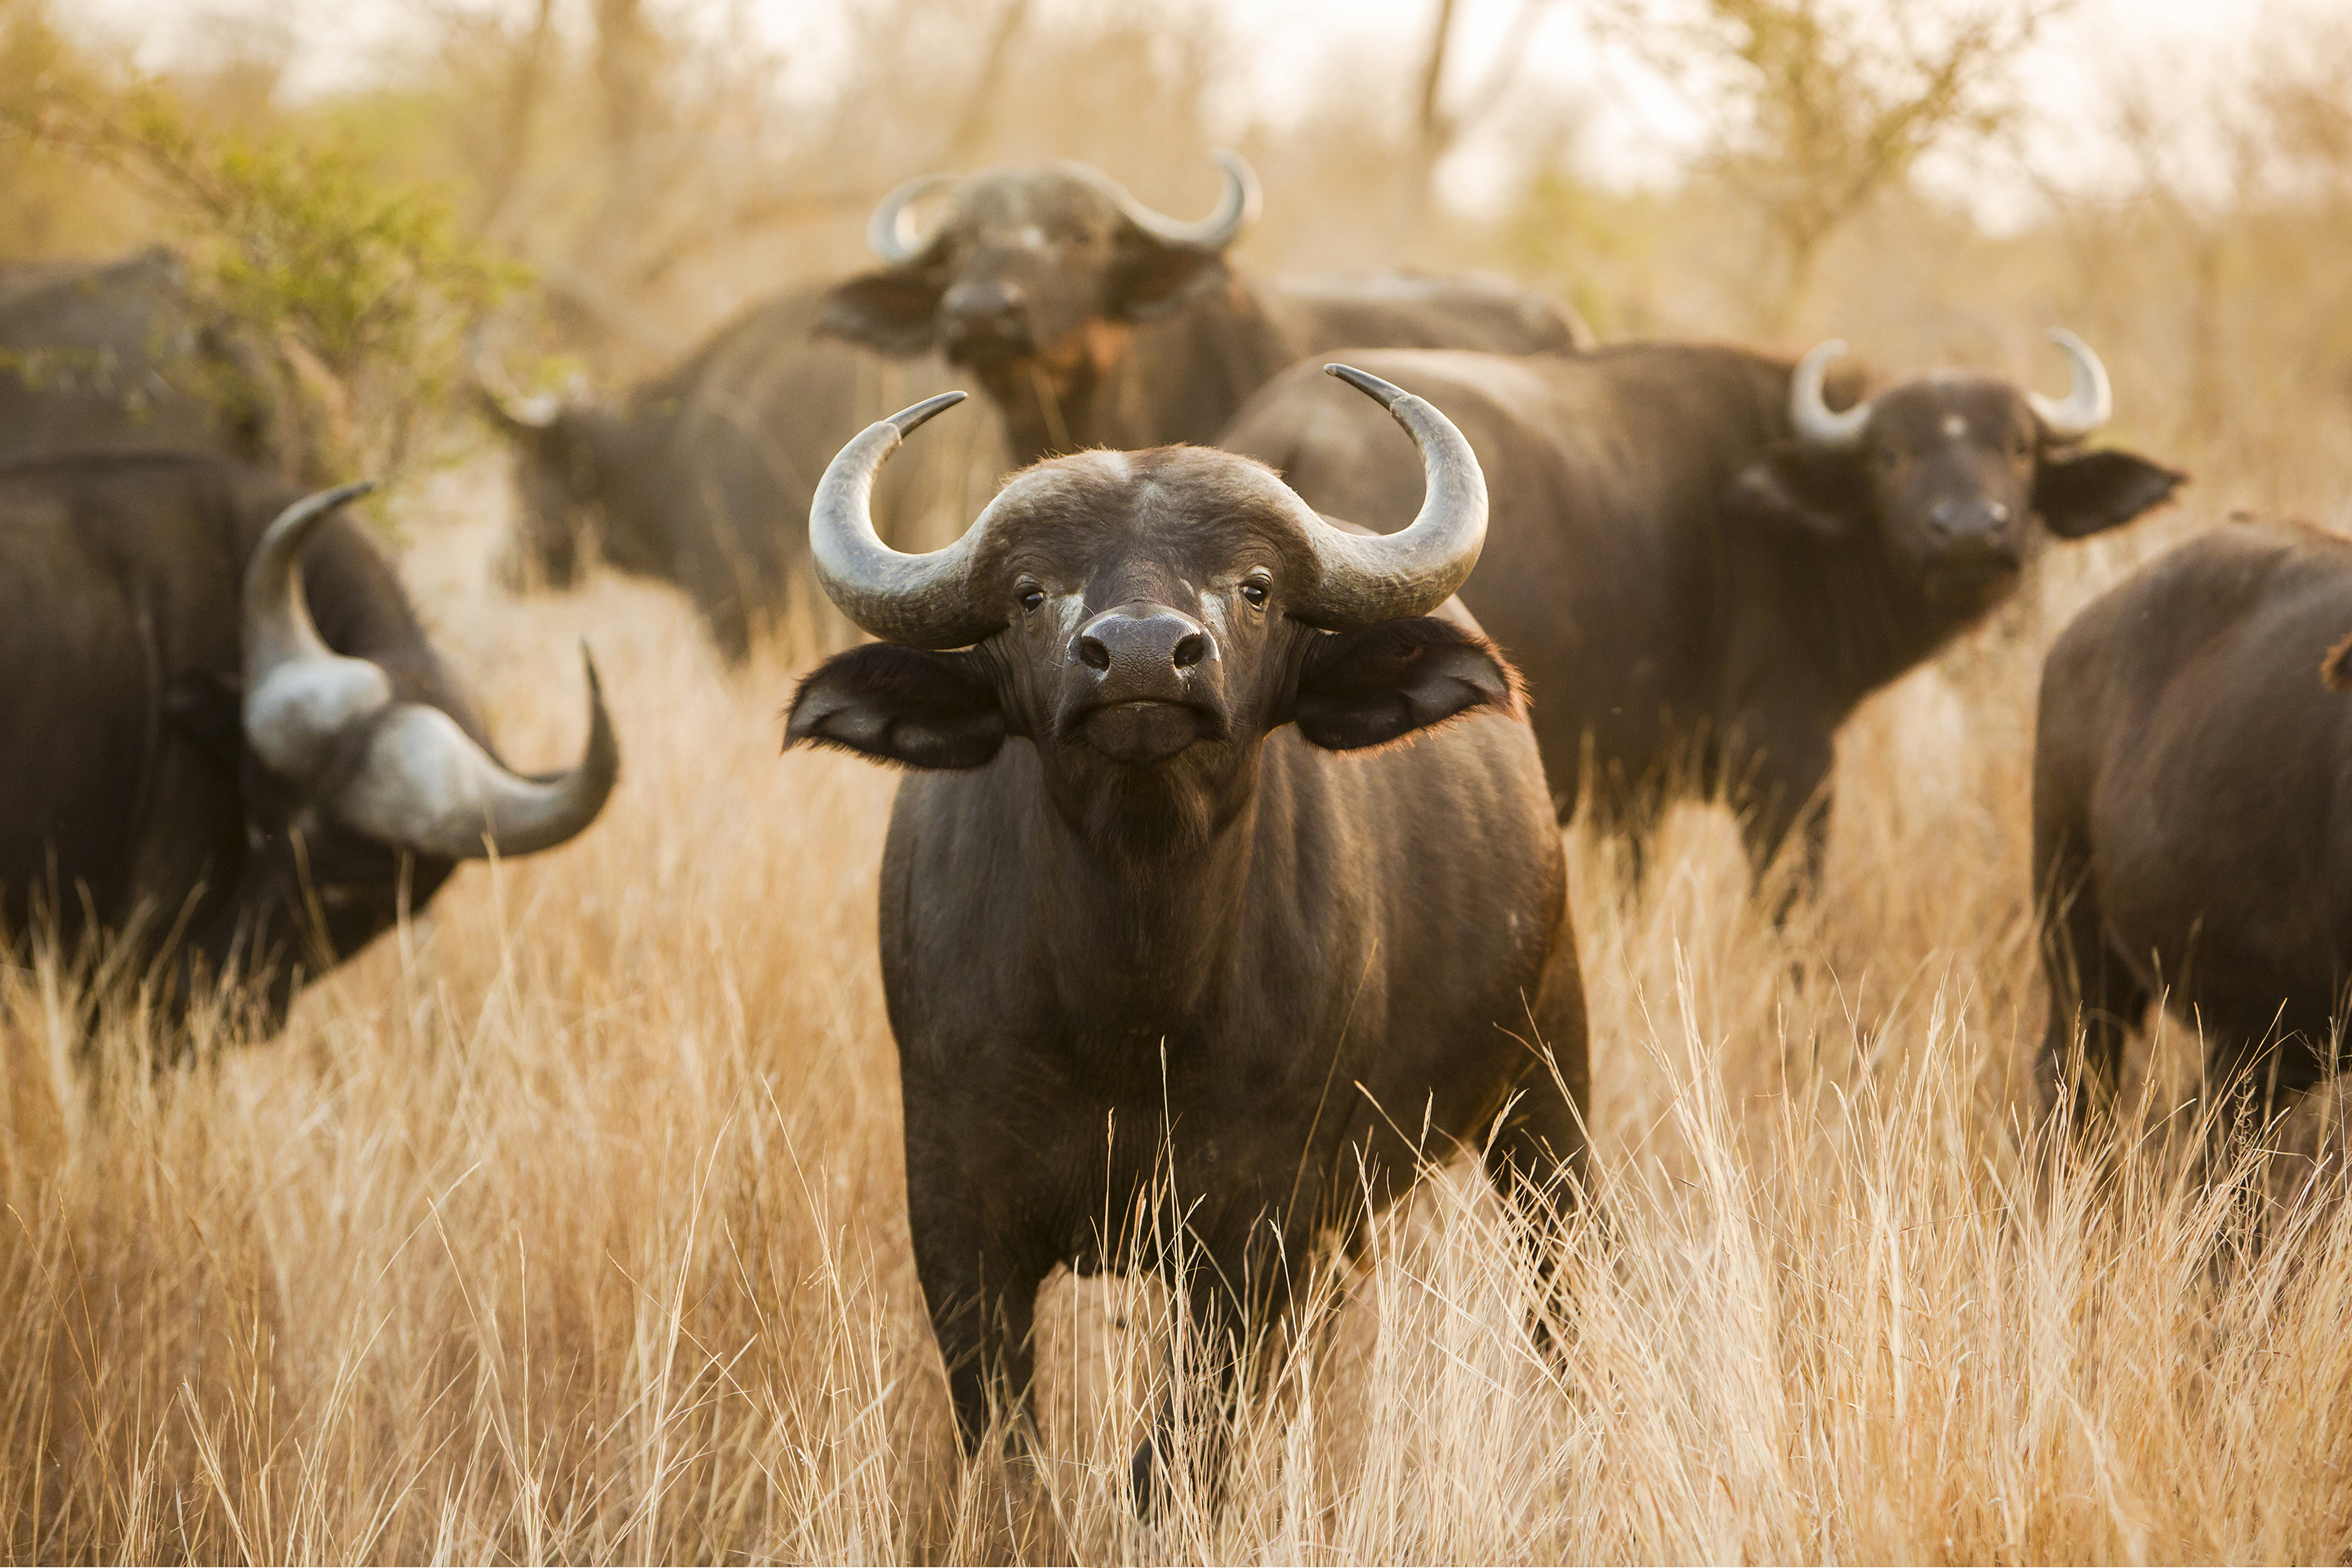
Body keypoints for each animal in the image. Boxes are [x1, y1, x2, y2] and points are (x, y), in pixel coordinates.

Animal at [785, 368, 1587, 1504]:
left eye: (1253, 586)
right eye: (1029, 591)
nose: (1138, 658)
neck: (1128, 1001)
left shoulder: (1256, 1233)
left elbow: (1174, 1462)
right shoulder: (957, 1217)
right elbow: (1011, 1452)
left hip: (1548, 1086)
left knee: (1560, 1281)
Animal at [1224, 332, 2185, 884]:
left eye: (2018, 449)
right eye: (1892, 454)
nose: (1970, 532)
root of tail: (1290, 433)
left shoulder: (1631, 791)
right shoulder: (1787, 762)